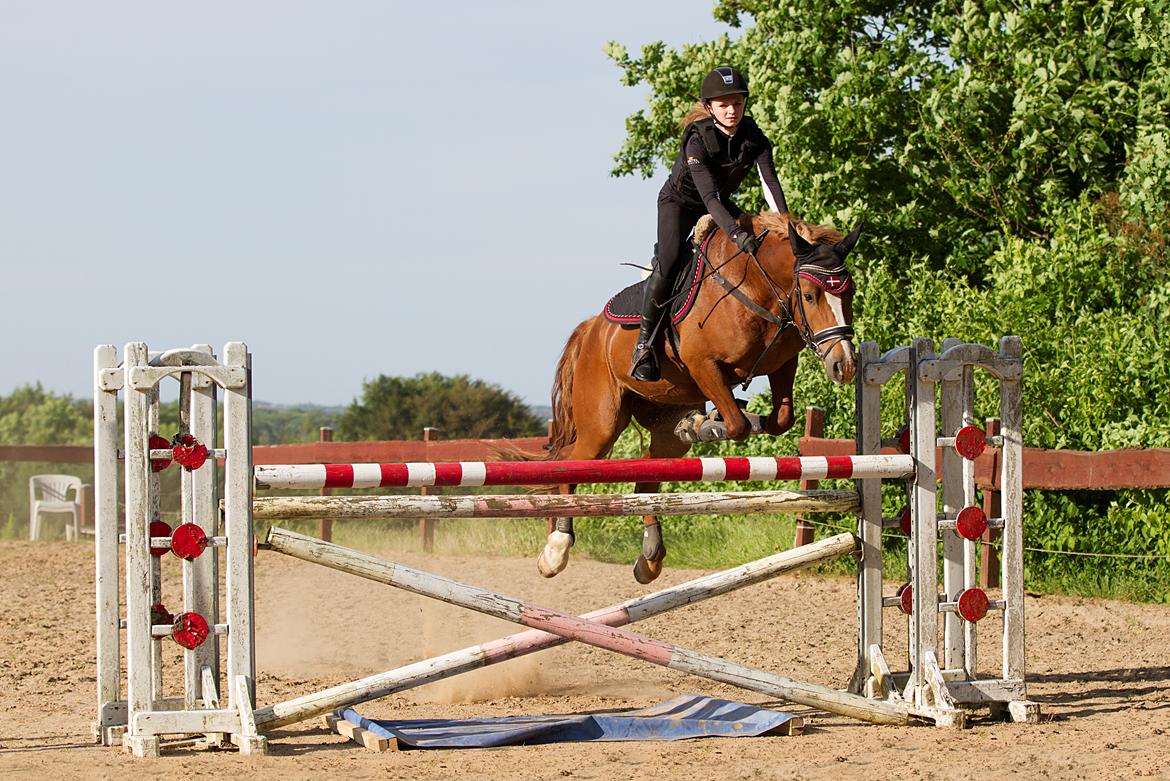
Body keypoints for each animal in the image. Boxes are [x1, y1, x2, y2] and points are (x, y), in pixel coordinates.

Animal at [538, 211, 861, 579]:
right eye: (809, 296)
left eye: (850, 293)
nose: (845, 365)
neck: (756, 287)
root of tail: (591, 328)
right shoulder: (702, 364)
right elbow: (737, 425)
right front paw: (705, 424)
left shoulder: (781, 363)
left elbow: (780, 419)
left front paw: (714, 419)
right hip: (601, 424)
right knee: (572, 464)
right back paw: (556, 550)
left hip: (661, 420)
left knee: (649, 473)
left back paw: (650, 556)